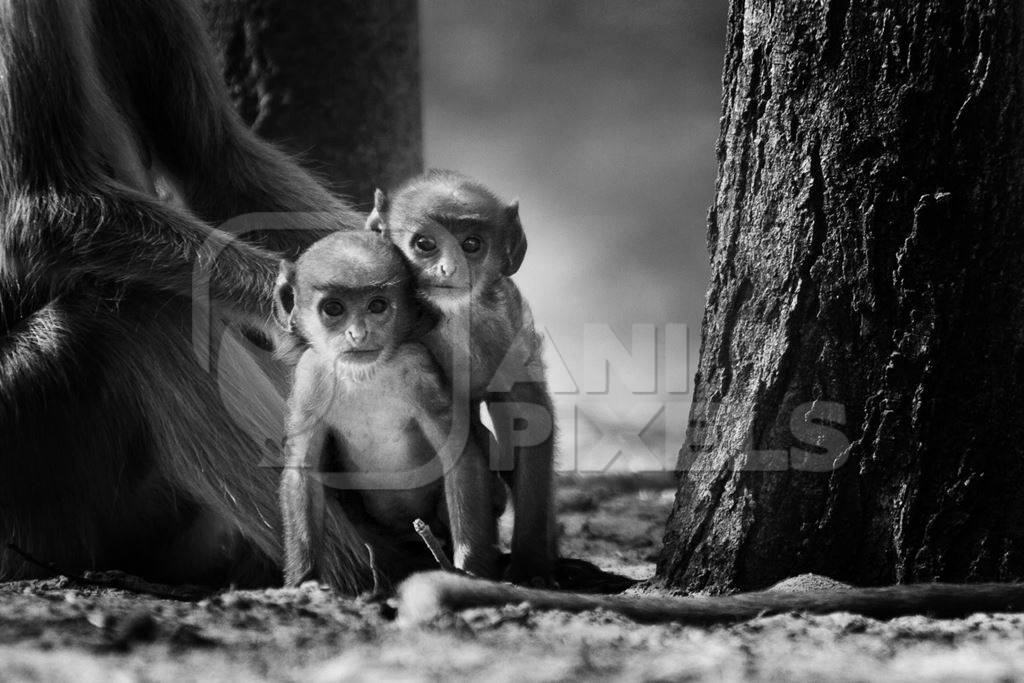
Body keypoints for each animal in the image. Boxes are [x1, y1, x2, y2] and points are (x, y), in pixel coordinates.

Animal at [276, 233, 499, 589]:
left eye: (377, 306)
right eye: (333, 308)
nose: (358, 334)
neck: (364, 375)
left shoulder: (417, 364)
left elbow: (459, 453)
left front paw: (470, 569)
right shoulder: (311, 373)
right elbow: (303, 470)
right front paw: (304, 580)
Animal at [368, 171, 557, 589]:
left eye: (471, 244)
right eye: (425, 243)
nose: (449, 269)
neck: (451, 316)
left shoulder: (508, 324)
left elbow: (528, 419)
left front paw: (532, 565)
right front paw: (471, 568)